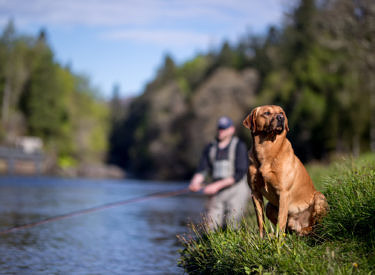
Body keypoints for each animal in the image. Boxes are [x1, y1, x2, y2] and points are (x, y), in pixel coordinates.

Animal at [244, 105, 326, 237]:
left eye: (281, 113)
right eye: (266, 113)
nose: (280, 118)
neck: (266, 150)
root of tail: (299, 225)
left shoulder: (283, 192)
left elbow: (281, 219)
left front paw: (279, 240)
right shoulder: (255, 192)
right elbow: (260, 220)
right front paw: (261, 238)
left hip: (319, 198)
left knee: (316, 225)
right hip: (269, 206)